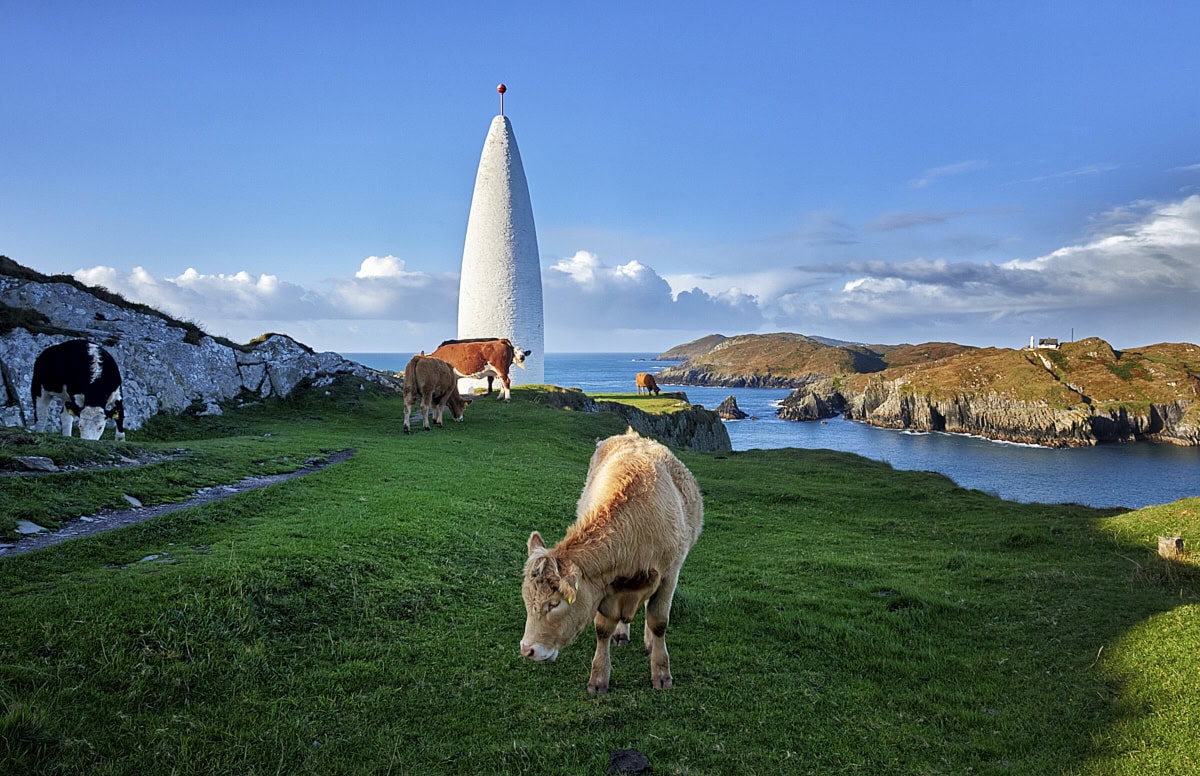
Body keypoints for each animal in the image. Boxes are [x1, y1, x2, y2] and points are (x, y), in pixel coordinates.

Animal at [519, 427, 703, 694]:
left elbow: (658, 622)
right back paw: (622, 634)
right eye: (526, 600)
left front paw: (661, 673)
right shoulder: (603, 587)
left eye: (554, 603)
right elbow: (602, 629)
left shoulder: (669, 574)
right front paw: (598, 678)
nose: (527, 650)